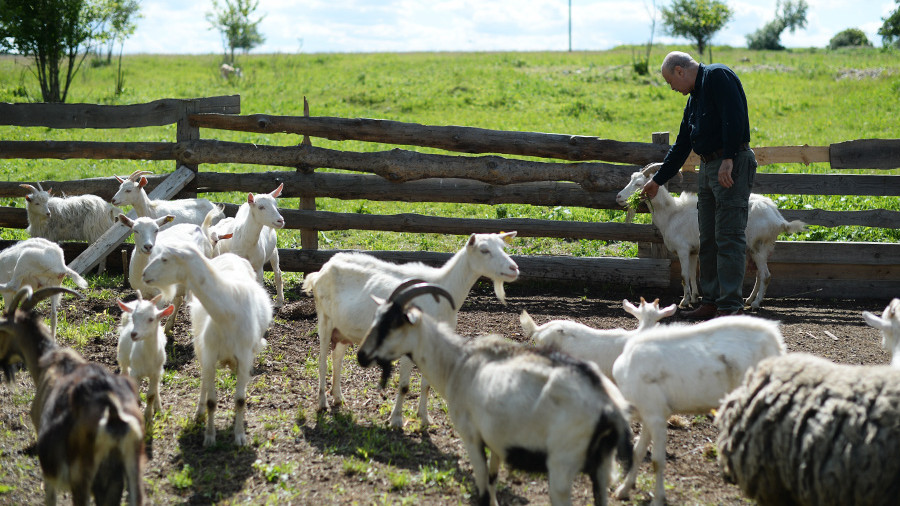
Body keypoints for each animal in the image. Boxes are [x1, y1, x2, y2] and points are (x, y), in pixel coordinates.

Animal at [141, 243, 270, 444]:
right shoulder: (210, 355)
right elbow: (211, 401)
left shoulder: (244, 357)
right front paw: (209, 437)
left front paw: (240, 435)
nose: (144, 274)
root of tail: (231, 255)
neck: (227, 312)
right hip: (202, 349)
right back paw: (199, 412)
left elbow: (240, 400)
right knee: (204, 382)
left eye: (165, 259)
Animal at [300, 232, 516, 426]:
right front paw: (396, 420)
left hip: (343, 327)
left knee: (337, 359)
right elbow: (404, 386)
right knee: (322, 362)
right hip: (324, 319)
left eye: (503, 247)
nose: (514, 268)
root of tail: (320, 271)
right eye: (484, 249)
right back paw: (322, 402)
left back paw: (338, 397)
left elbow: (426, 384)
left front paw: (425, 418)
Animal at [356, 280, 628, 506]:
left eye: (393, 323)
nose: (362, 355)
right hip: (601, 469)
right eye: (376, 317)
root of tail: (608, 408)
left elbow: (484, 489)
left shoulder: (471, 436)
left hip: (562, 465)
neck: (457, 363)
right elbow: (493, 481)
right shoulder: (497, 441)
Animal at [608, 314, 784, 504]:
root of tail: (777, 342)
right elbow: (637, 452)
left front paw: (658, 499)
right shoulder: (648, 414)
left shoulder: (656, 414)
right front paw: (623, 490)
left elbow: (657, 460)